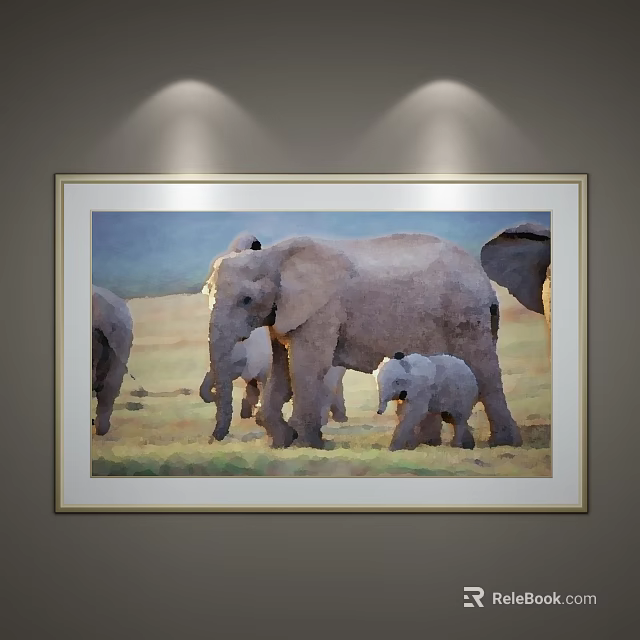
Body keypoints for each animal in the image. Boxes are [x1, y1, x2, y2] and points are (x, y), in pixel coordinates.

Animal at [205, 233, 522, 449]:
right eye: (207, 292)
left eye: (247, 299)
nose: (214, 440)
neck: (274, 256)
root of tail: (483, 280)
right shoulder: (282, 313)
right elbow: (282, 367)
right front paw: (283, 441)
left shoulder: (322, 309)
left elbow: (305, 367)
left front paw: (309, 444)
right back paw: (425, 444)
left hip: (465, 314)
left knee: (485, 373)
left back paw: (504, 444)